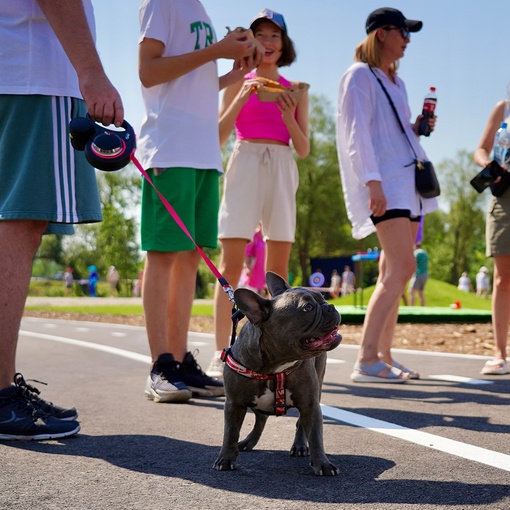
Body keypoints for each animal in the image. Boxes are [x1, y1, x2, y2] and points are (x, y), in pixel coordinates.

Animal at [213, 272, 340, 476]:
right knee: (260, 420)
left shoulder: (310, 404)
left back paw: (299, 446)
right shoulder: (234, 404)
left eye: (323, 297)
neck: (274, 367)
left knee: (299, 424)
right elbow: (230, 433)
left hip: (317, 388)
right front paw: (225, 458)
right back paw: (248, 442)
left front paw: (322, 463)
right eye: (308, 307)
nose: (331, 306)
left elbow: (315, 435)